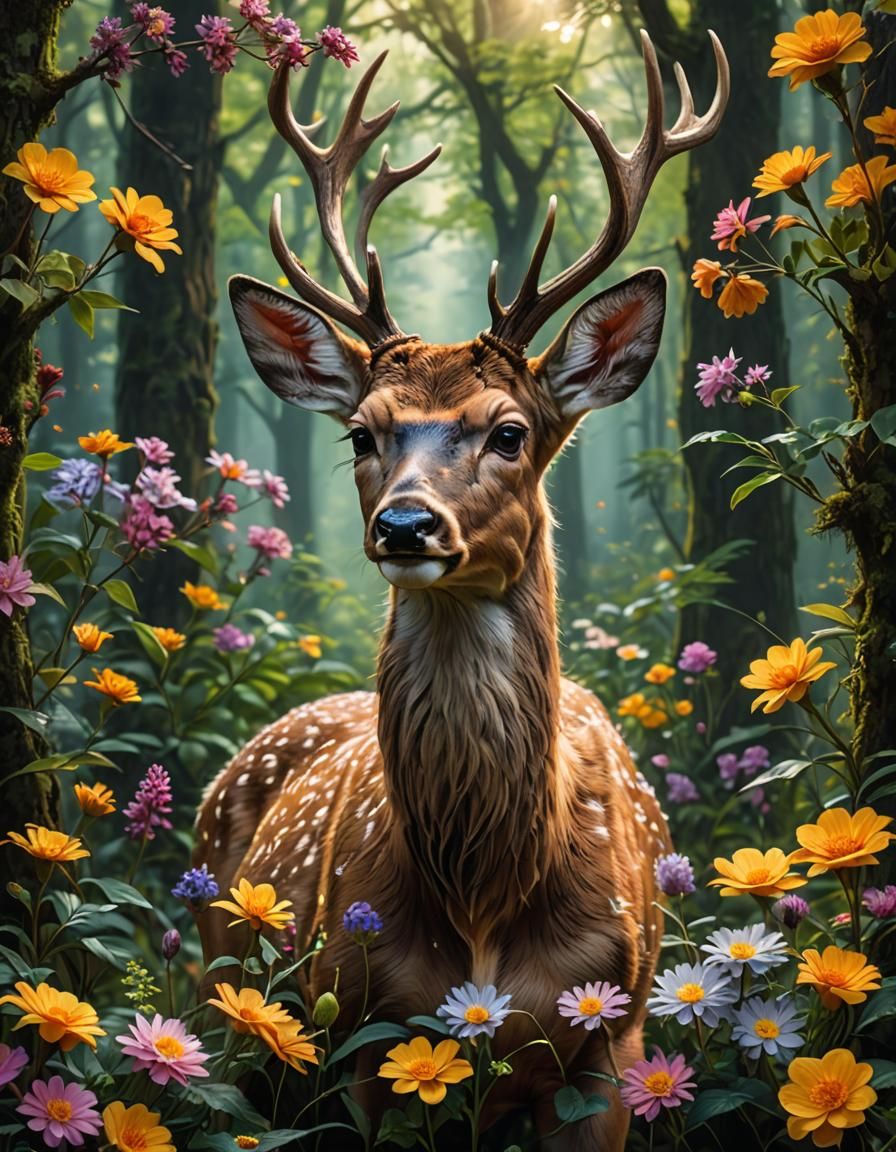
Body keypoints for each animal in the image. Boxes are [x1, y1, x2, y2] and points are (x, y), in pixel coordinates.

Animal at [195, 30, 728, 1150]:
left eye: (509, 431)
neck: (482, 897)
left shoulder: (613, 1038)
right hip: (229, 1000)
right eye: (363, 433)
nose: (404, 526)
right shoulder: (358, 1033)